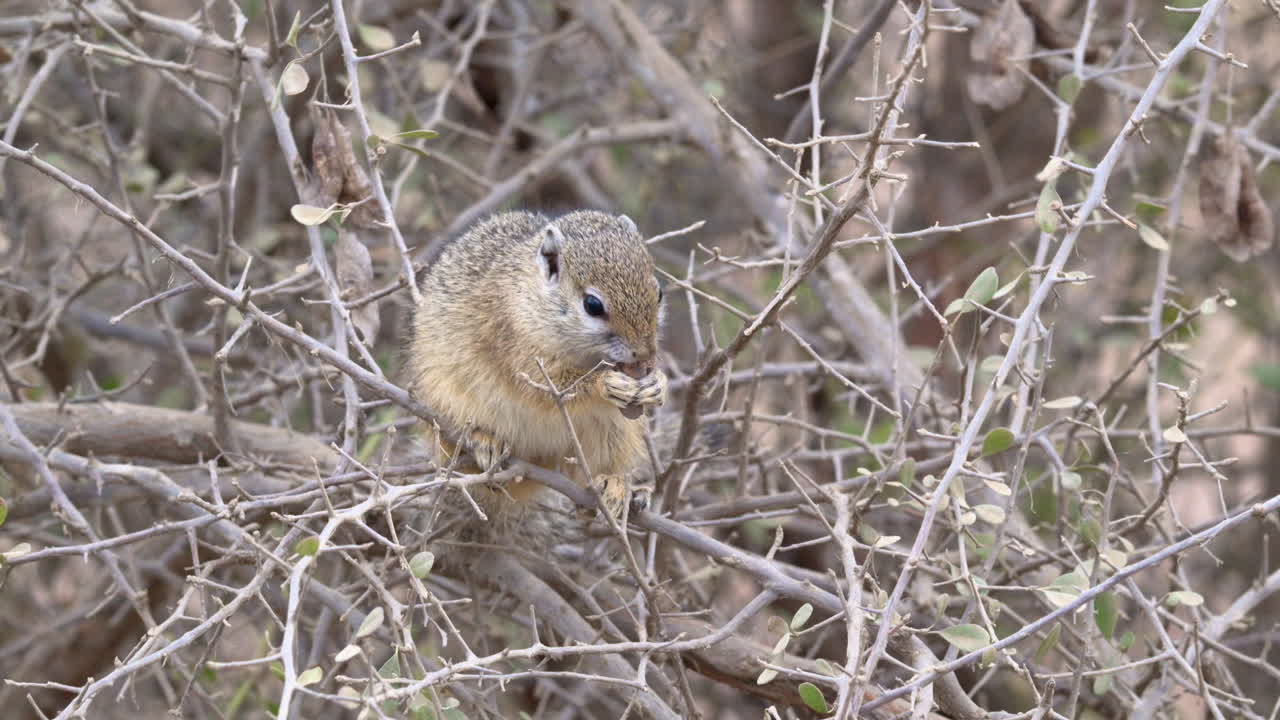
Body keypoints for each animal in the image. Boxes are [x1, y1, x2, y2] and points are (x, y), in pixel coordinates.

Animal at [407, 210, 668, 530]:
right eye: (592, 305)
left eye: (659, 293)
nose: (645, 354)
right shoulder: (518, 350)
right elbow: (553, 388)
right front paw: (605, 383)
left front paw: (658, 384)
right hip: (444, 406)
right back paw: (484, 443)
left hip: (614, 434)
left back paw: (617, 487)